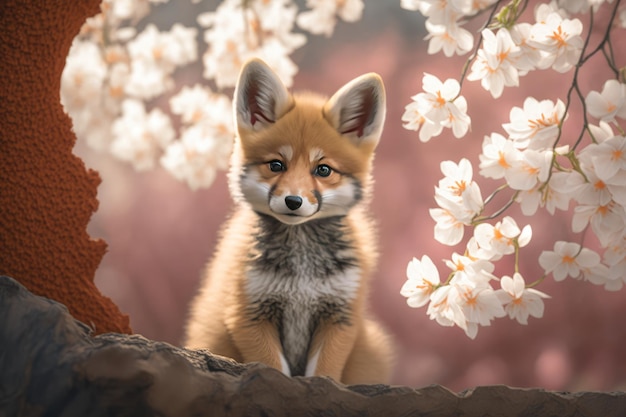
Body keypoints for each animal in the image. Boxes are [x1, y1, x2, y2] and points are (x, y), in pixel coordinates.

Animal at [183, 58, 390, 384]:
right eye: (276, 165)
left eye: (323, 170)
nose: (294, 201)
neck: (300, 274)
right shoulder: (248, 314)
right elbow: (273, 369)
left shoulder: (340, 315)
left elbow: (324, 374)